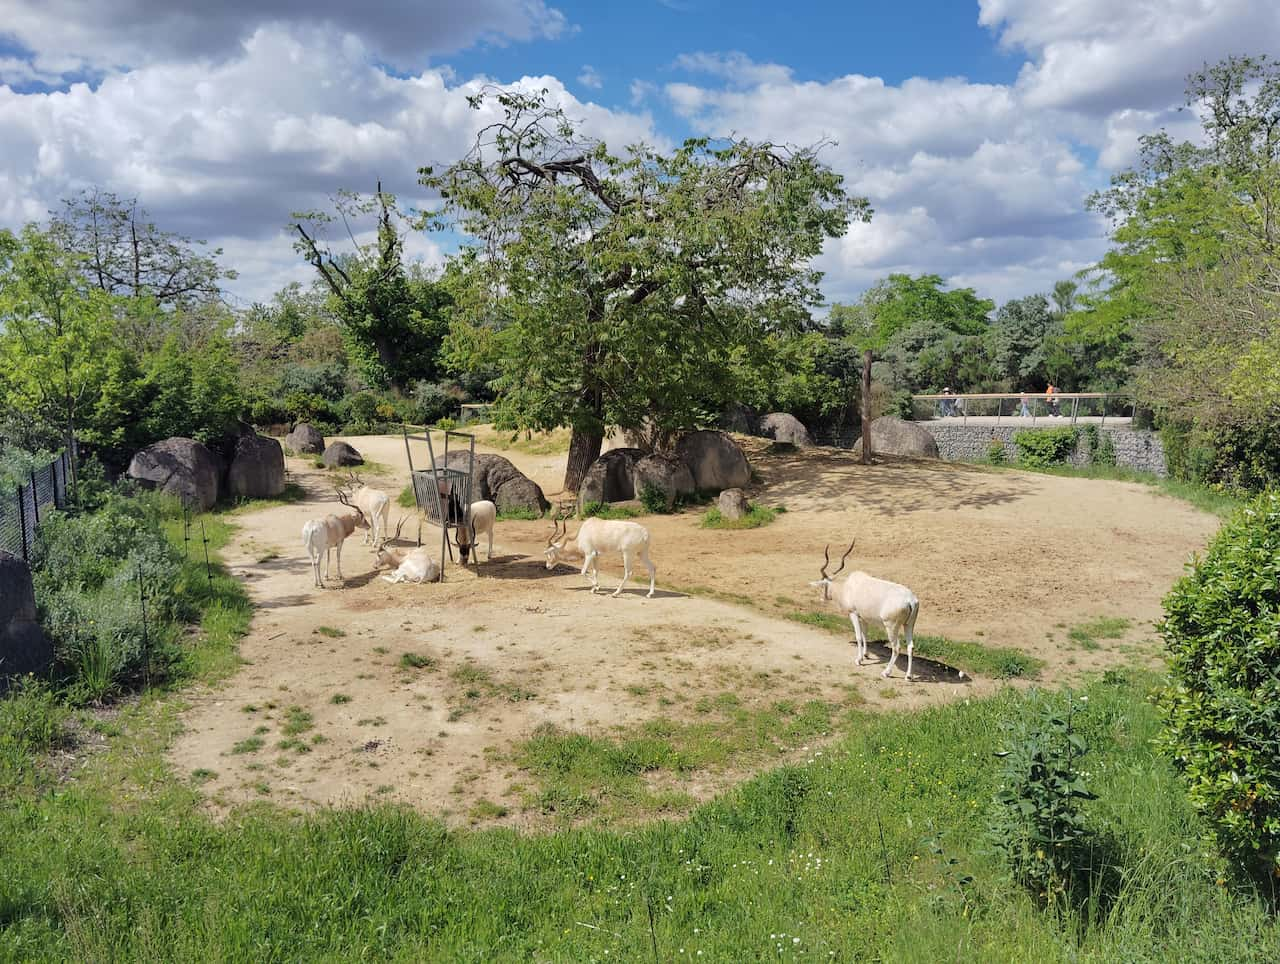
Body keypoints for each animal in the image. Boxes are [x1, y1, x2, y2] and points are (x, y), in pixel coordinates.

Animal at [808, 542, 921, 675]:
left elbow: (858, 636)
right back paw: (908, 676)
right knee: (910, 647)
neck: (846, 587)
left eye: (822, 586)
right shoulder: (864, 617)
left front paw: (859, 660)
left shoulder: (853, 614)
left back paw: (886, 672)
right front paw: (865, 655)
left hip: (891, 626)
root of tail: (910, 600)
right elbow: (865, 635)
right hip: (909, 625)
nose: (822, 599)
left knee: (896, 647)